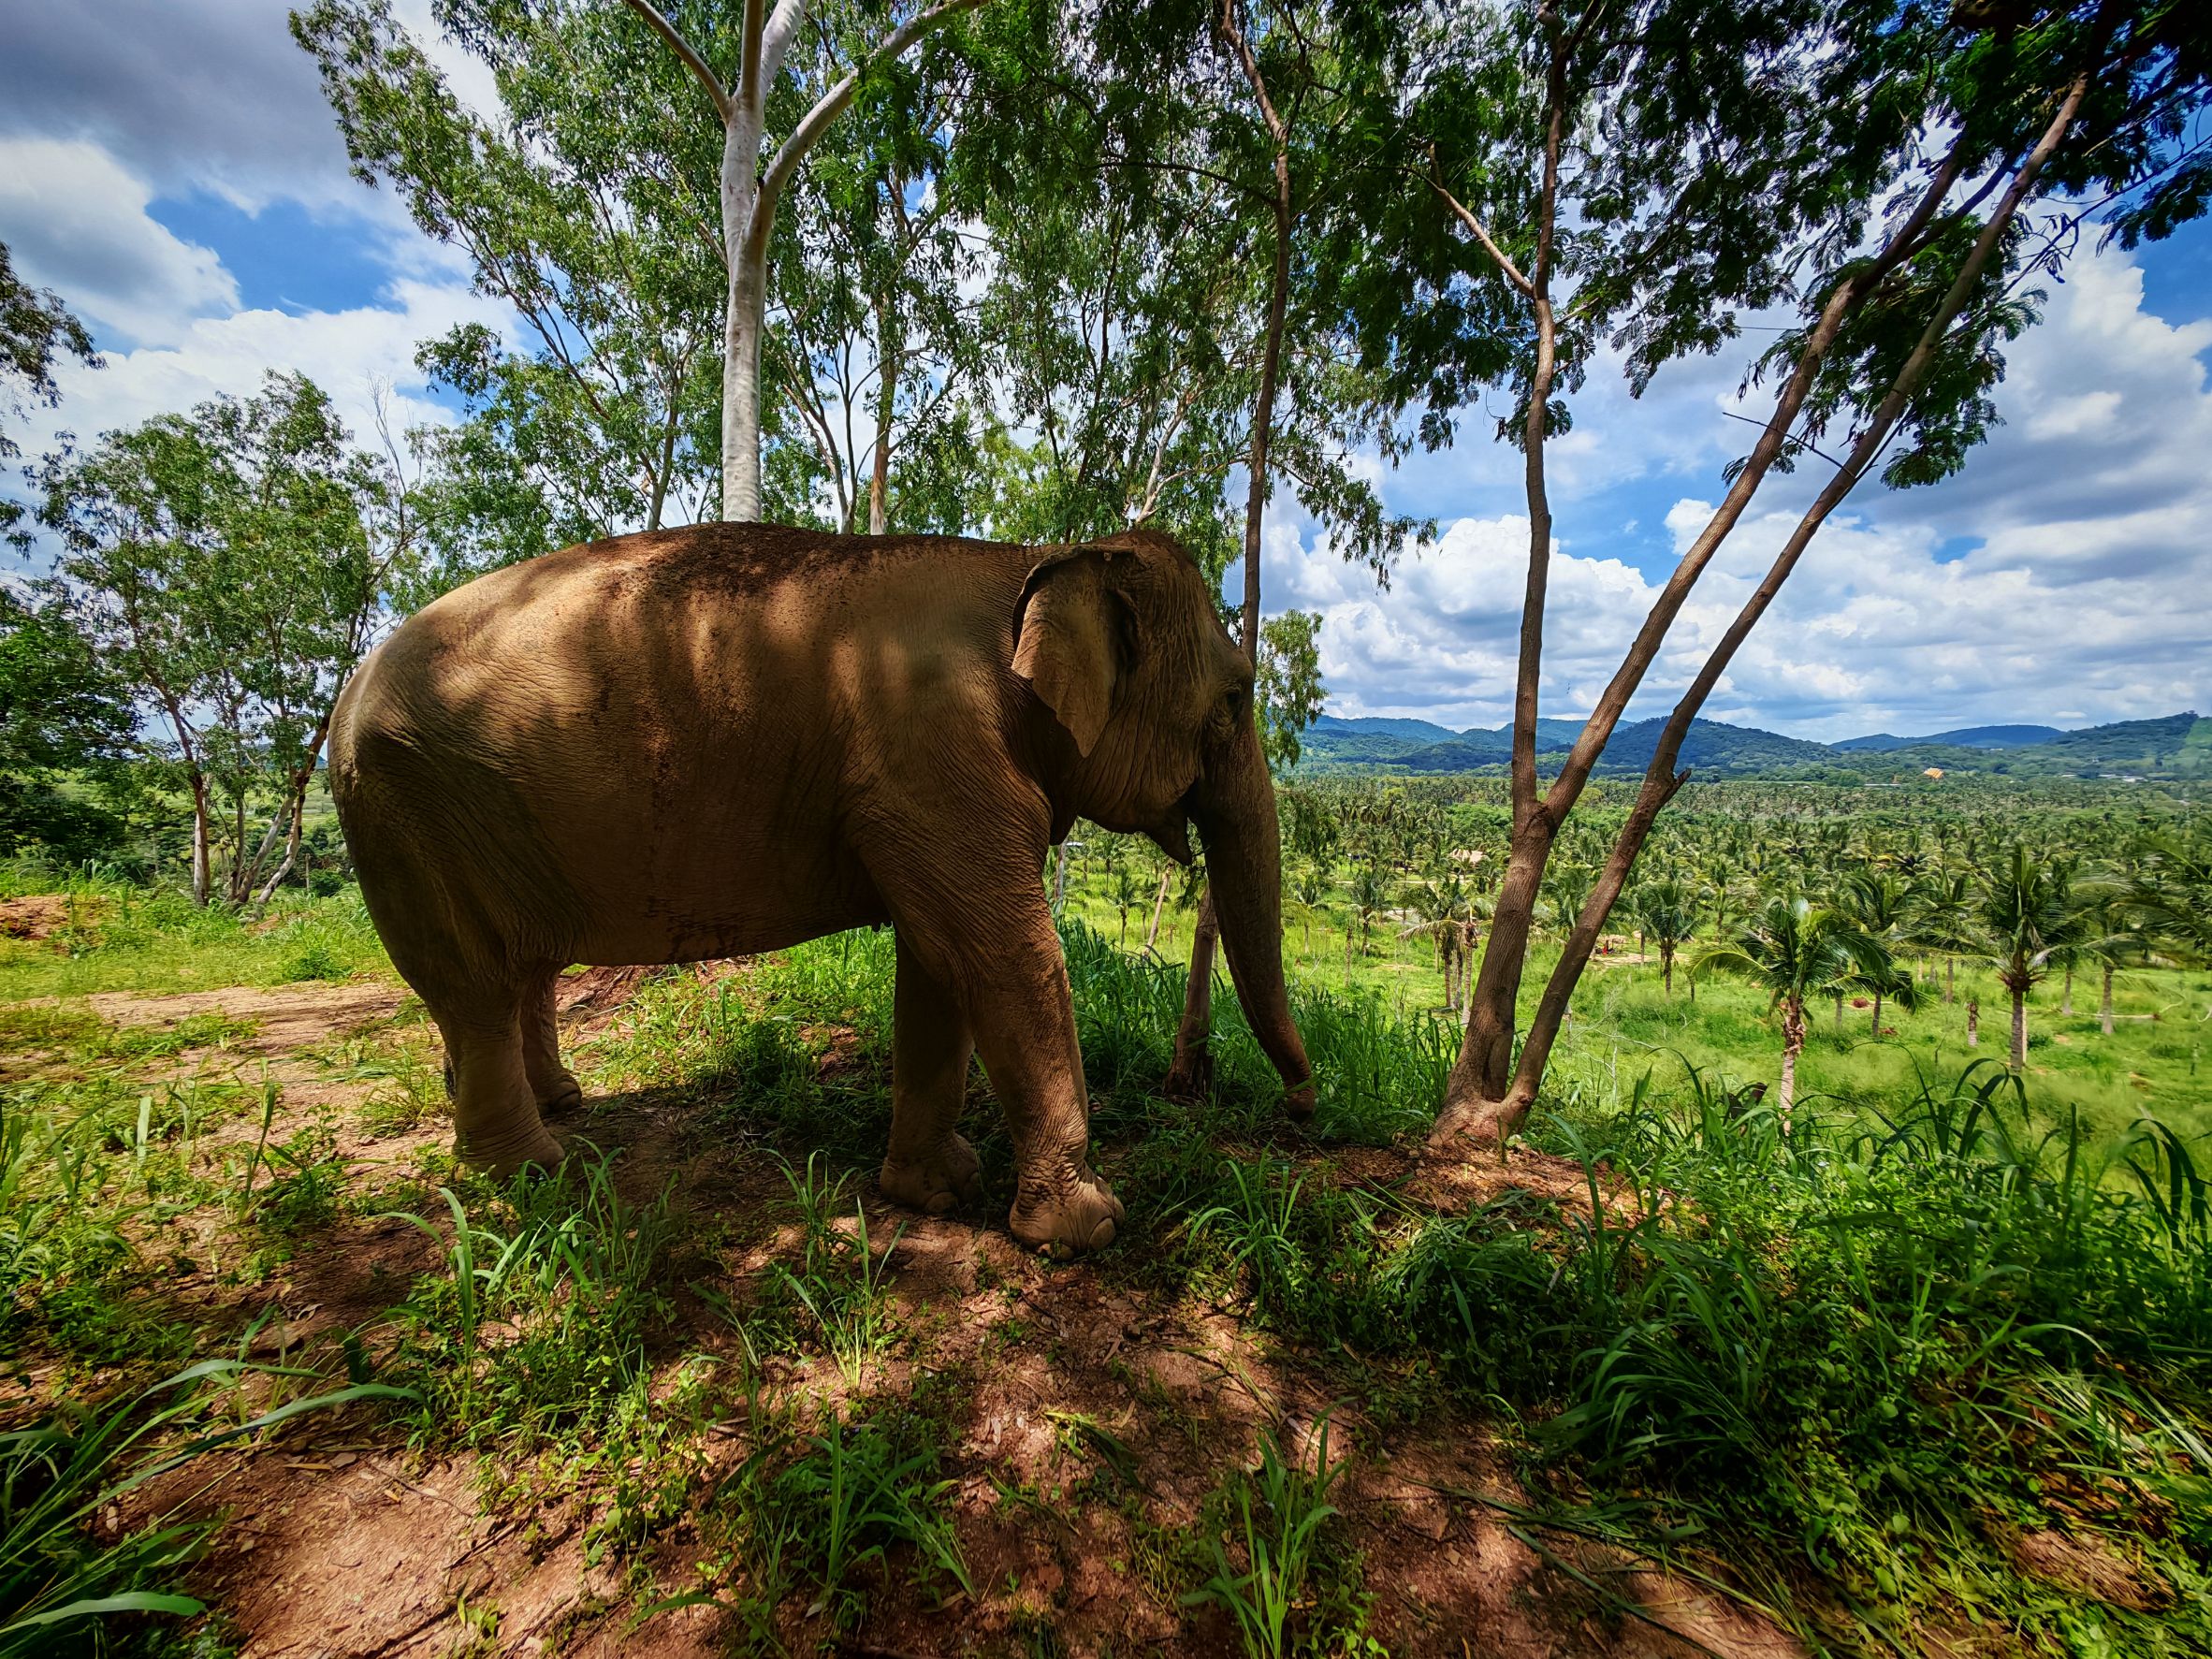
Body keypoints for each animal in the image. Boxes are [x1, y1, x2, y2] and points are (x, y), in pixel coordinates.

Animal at [327, 522, 1314, 1257]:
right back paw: (531, 1171)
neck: (1030, 559)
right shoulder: (933, 754)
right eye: (1235, 698)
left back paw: (562, 1104)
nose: (1302, 1107)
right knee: (476, 986)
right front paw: (1088, 1229)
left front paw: (936, 1189)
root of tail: (347, 692)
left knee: (517, 971)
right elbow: (1004, 953)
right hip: (408, 810)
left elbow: (938, 962)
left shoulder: (921, 789)